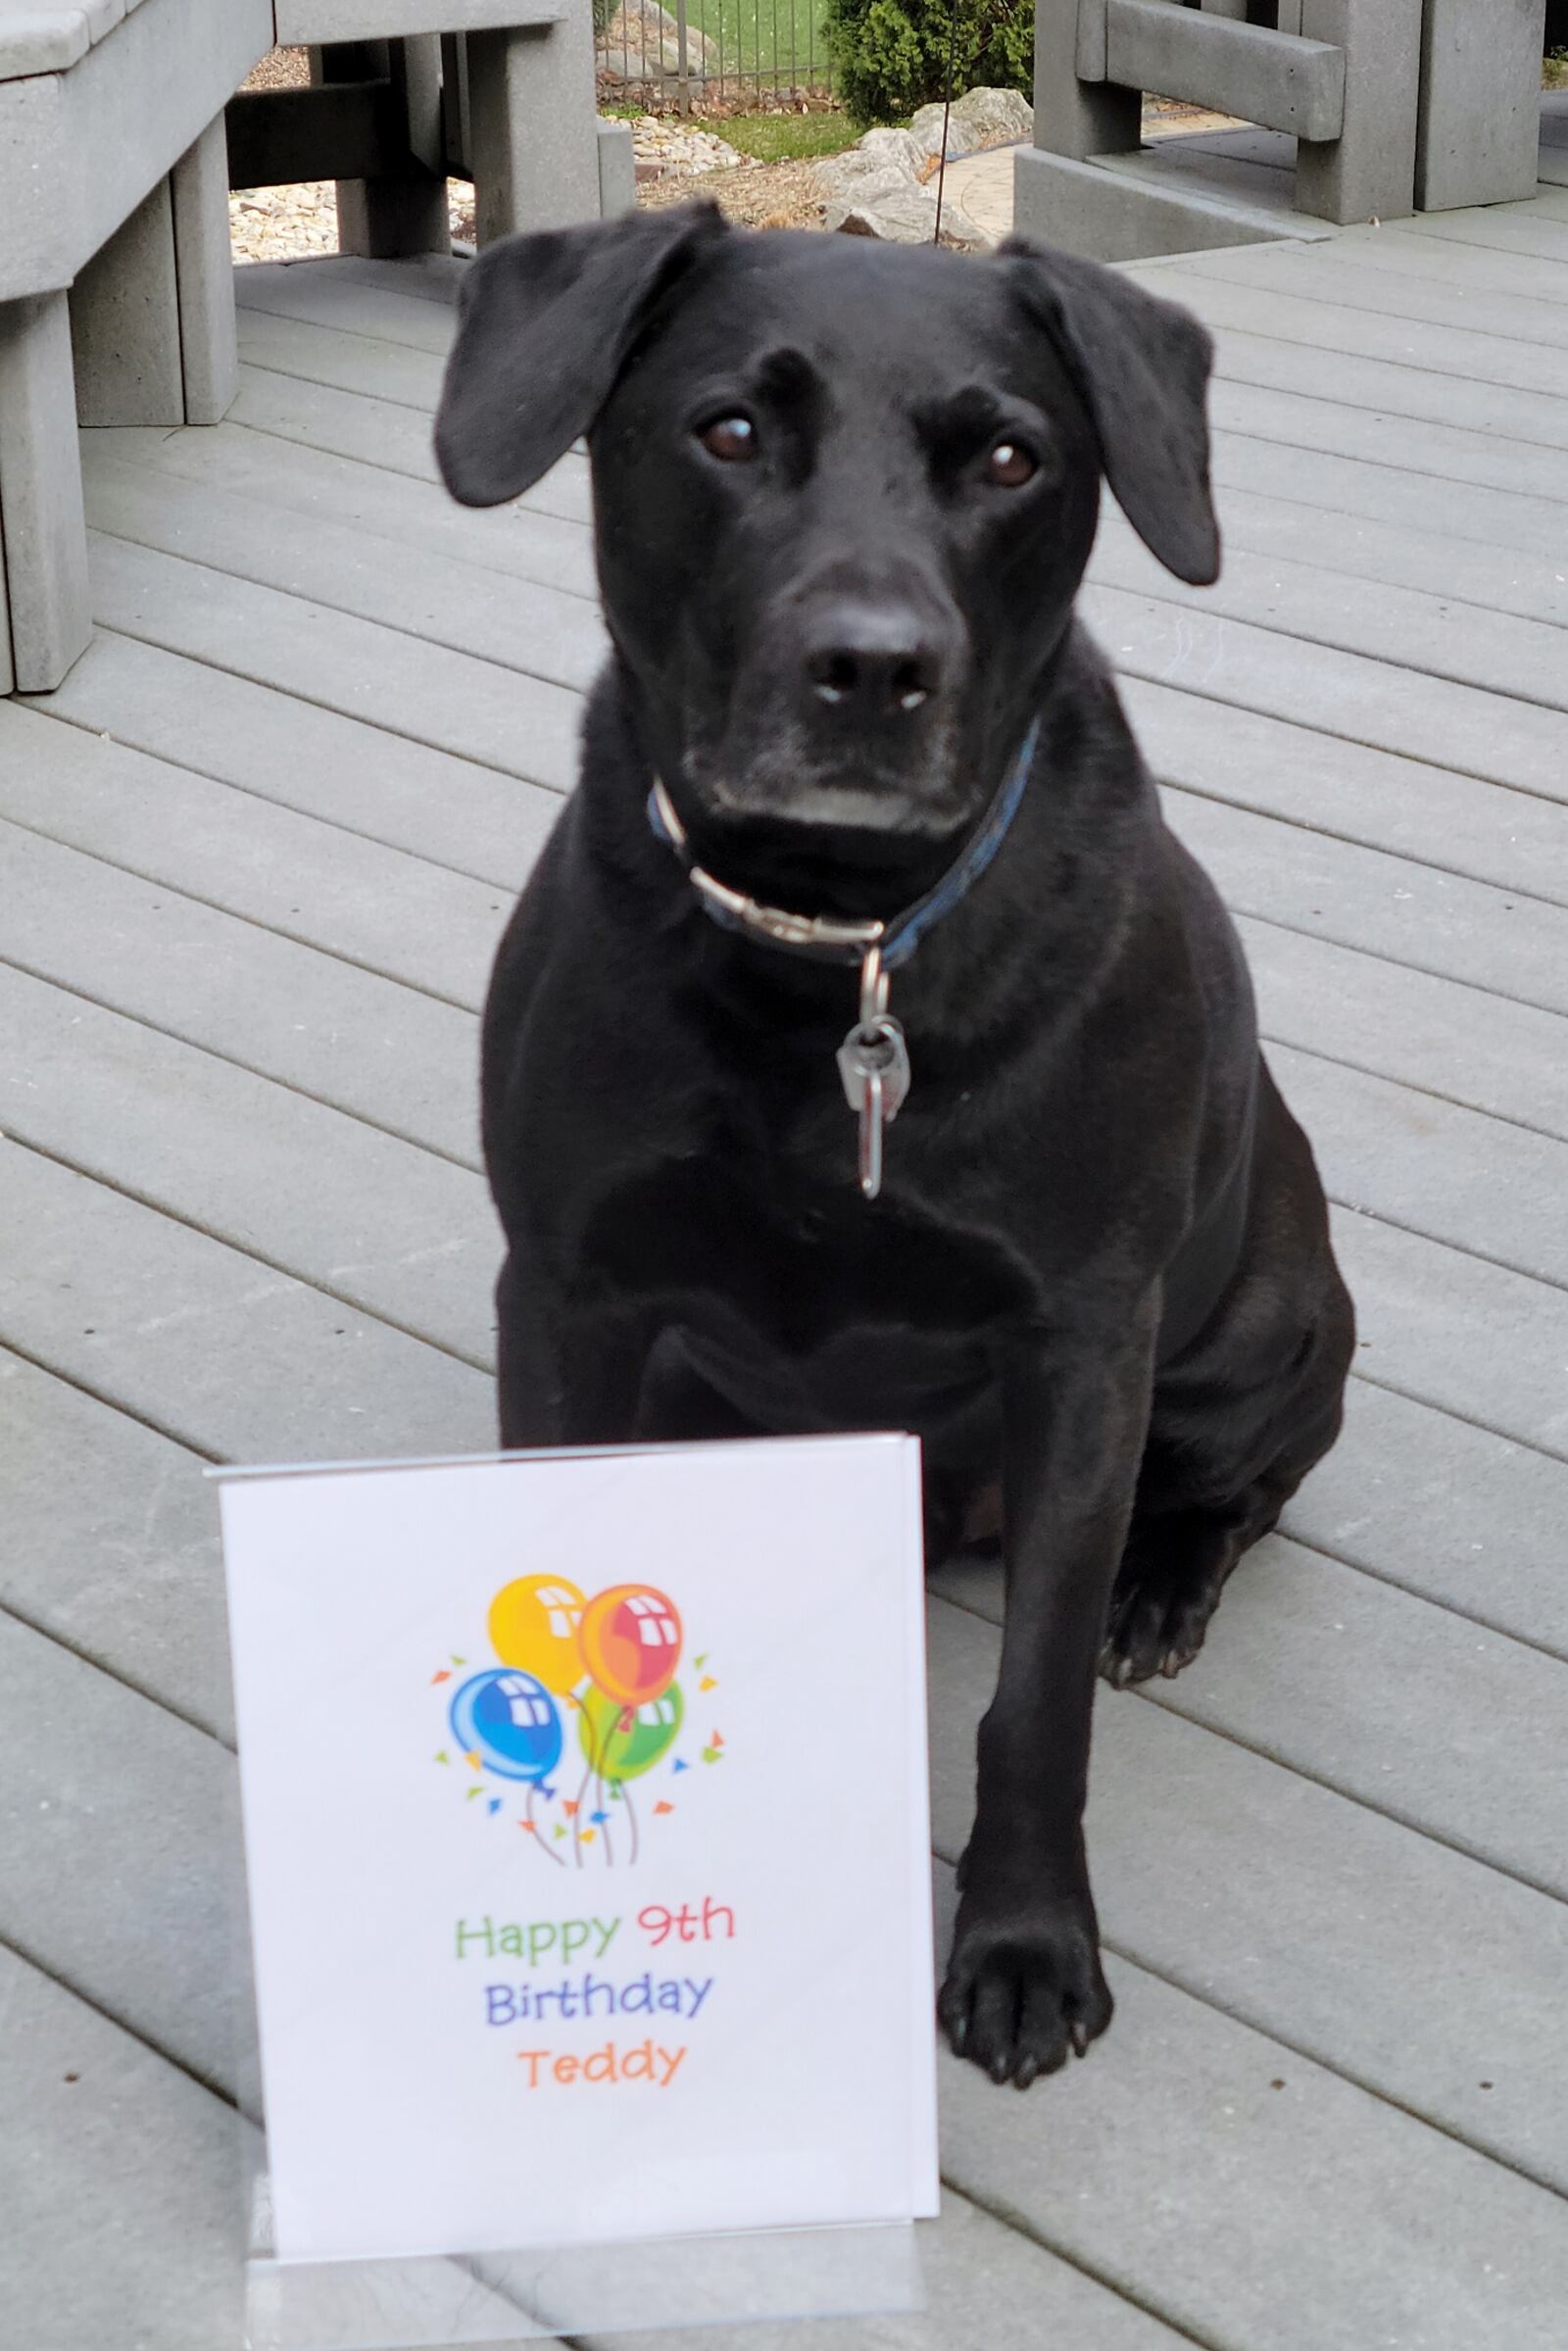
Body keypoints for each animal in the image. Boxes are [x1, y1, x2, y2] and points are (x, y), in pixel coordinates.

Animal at [434, 211, 1353, 2096]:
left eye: (1010, 458)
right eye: (727, 431)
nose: (872, 667)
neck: (836, 945)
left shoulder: (1083, 1344)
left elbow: (1036, 1700)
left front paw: (1022, 1941)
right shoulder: (566, 1294)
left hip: (1269, 1326)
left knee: (1250, 1486)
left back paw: (1167, 1578)